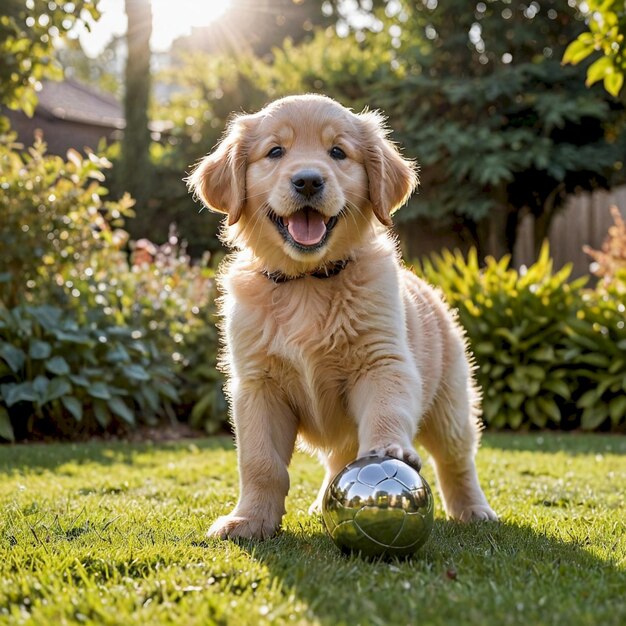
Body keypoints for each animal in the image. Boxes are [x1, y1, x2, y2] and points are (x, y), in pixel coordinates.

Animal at [188, 95, 494, 540]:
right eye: (275, 152)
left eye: (338, 152)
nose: (308, 181)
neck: (307, 282)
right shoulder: (258, 385)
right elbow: (260, 463)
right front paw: (249, 520)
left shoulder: (382, 362)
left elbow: (386, 412)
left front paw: (388, 450)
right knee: (340, 458)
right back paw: (322, 504)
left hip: (450, 403)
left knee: (457, 461)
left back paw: (475, 510)